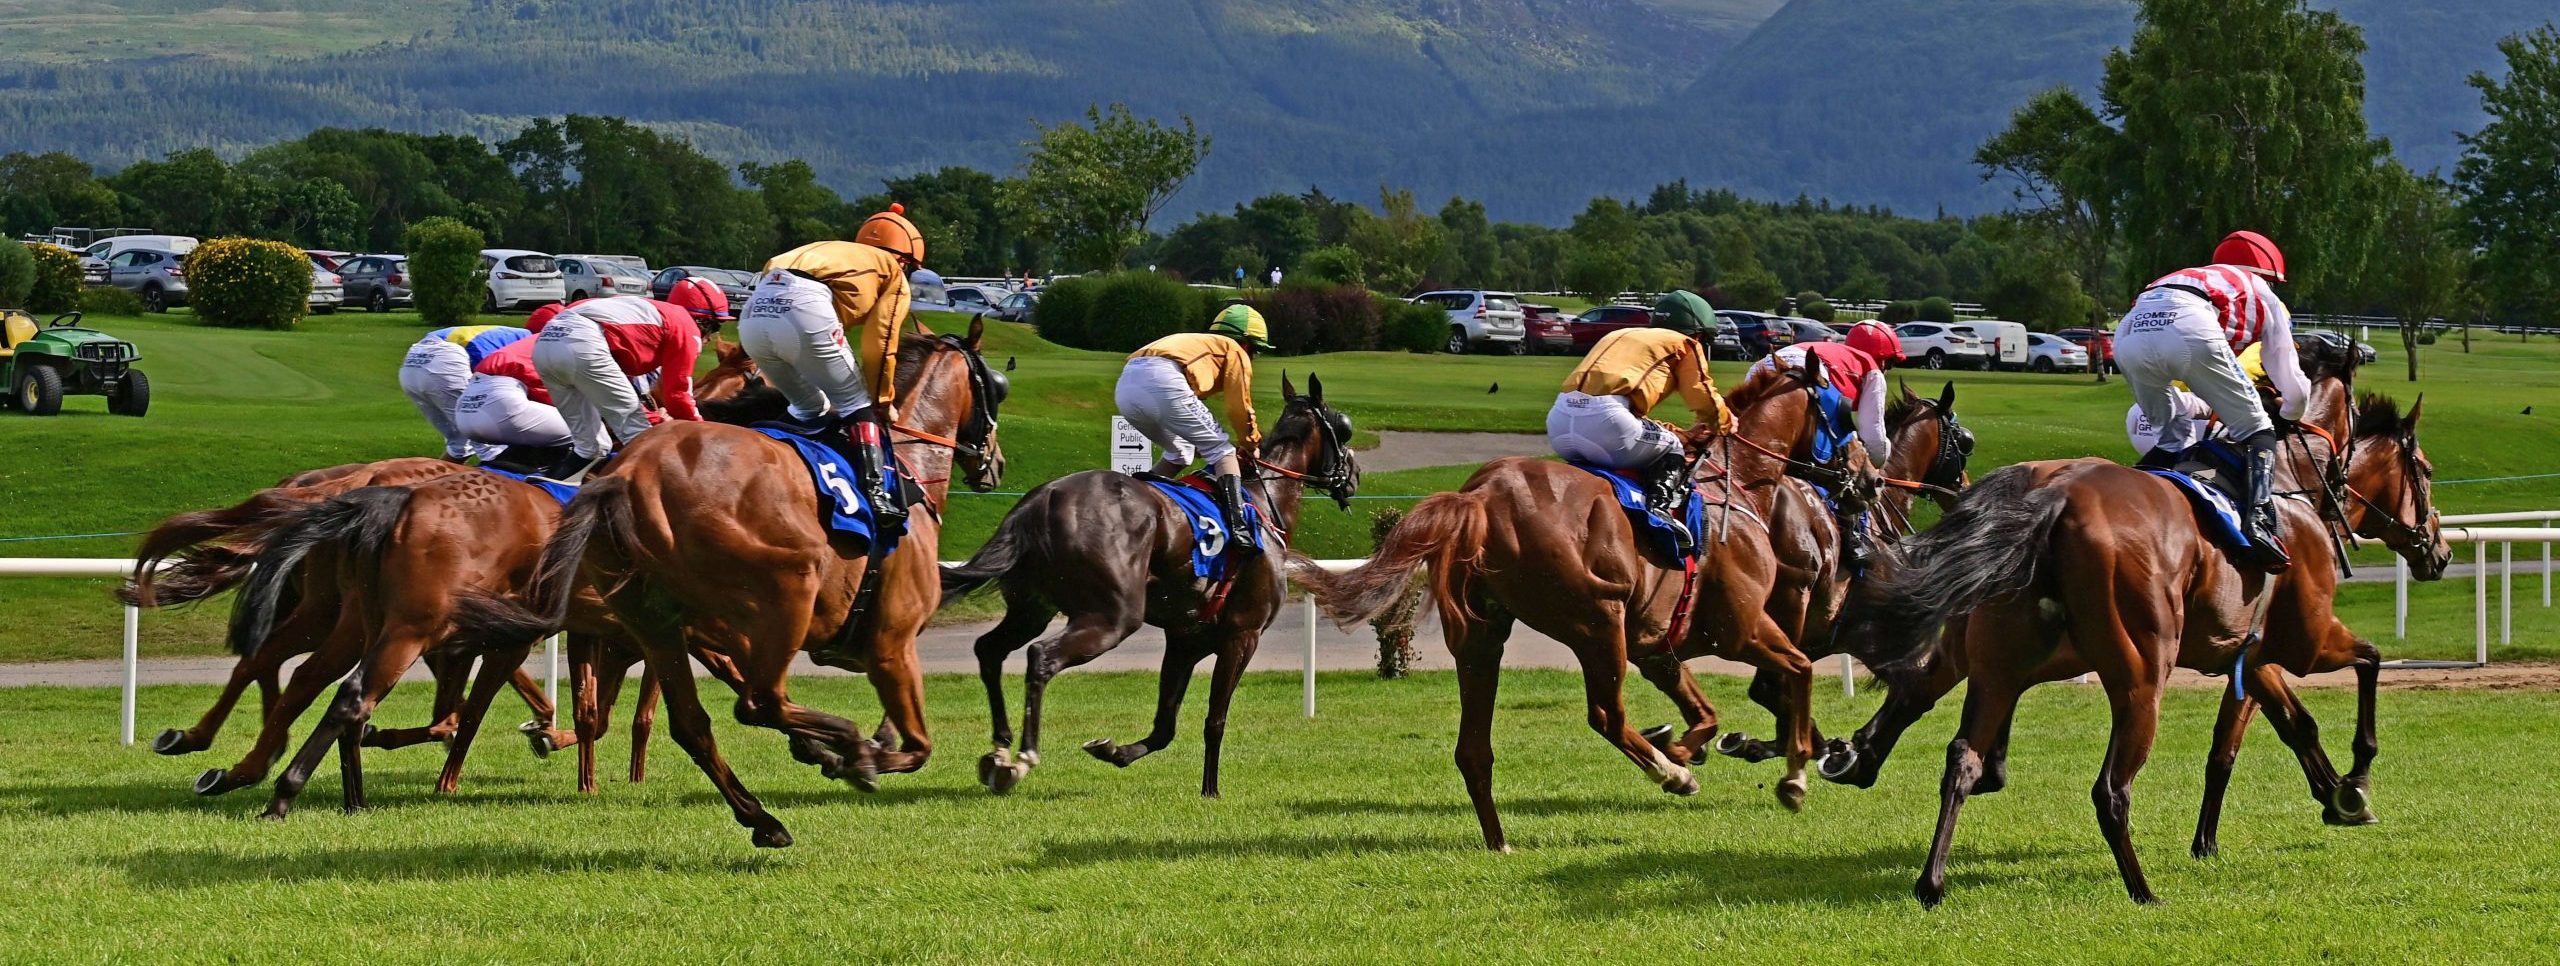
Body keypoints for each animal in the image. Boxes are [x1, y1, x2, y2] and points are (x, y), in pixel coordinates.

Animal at [514, 317, 1003, 840]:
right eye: (995, 386)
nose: (995, 463)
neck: (903, 469)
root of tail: (625, 475)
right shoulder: (892, 642)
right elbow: (916, 748)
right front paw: (854, 757)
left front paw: (823, 750)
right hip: (790, 584)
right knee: (759, 702)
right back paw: (843, 744)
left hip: (654, 622)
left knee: (693, 723)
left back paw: (763, 816)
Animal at [931, 371, 1351, 794]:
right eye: (1344, 427)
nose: (1352, 477)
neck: (1262, 500)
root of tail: (1041, 500)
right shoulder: (1242, 635)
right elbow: (1215, 720)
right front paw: (1210, 790)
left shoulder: (1185, 639)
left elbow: (1165, 725)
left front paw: (1113, 751)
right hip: (1113, 617)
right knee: (1041, 658)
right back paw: (1023, 756)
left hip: (1031, 608)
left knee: (989, 650)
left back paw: (1000, 752)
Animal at [1300, 358, 1925, 845]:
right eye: (1844, 415)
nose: (1870, 480)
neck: (1742, 485)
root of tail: (1478, 496)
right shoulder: (1742, 626)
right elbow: (1794, 672)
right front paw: (1791, 776)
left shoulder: (1656, 644)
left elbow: (1706, 712)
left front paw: (1686, 745)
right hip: (1597, 621)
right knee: (1606, 715)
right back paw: (1671, 775)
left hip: (1483, 637)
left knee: (1473, 747)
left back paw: (1502, 839)